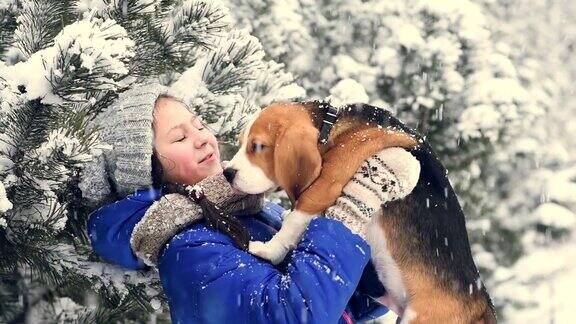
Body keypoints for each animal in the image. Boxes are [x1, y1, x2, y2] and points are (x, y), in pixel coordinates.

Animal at [224, 101, 496, 324]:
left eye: (258, 146)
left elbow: (295, 219)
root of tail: (484, 308)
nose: (227, 173)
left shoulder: (323, 188)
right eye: (241, 143)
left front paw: (268, 250)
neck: (331, 127)